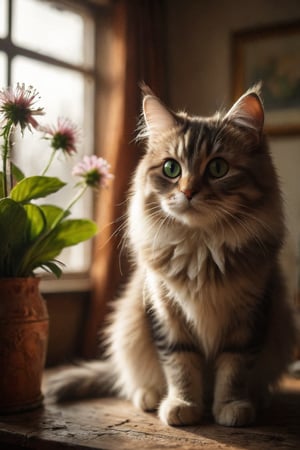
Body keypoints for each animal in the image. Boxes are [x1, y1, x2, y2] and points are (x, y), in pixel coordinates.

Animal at [49, 86, 296, 428]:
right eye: (171, 169)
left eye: (218, 168)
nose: (188, 192)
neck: (203, 249)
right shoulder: (165, 311)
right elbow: (181, 366)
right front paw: (183, 405)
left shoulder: (249, 316)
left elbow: (234, 370)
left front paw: (231, 407)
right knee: (131, 380)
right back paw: (150, 397)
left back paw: (257, 399)